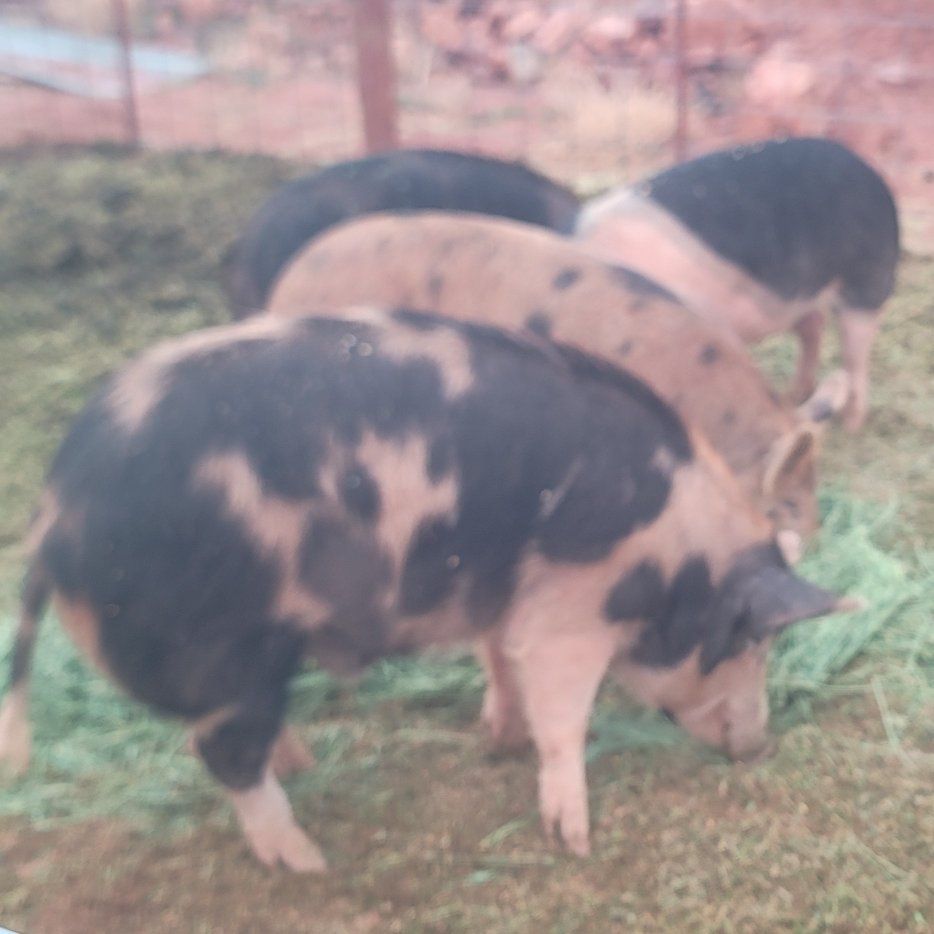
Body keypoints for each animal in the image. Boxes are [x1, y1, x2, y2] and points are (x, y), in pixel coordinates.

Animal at [0, 309, 850, 869]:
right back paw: (306, 859)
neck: (674, 546)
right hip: (220, 649)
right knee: (221, 752)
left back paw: (301, 762)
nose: (760, 746)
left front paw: (498, 738)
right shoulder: (571, 611)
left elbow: (500, 663)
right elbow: (563, 715)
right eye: (750, 643)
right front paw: (574, 839)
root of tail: (52, 517)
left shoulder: (502, 598)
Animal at [576, 137, 900, 430]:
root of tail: (871, 173)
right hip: (797, 294)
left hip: (868, 279)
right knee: (813, 326)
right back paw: (793, 395)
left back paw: (851, 426)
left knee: (855, 353)